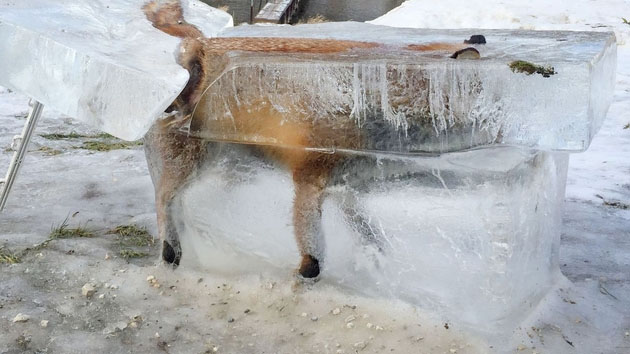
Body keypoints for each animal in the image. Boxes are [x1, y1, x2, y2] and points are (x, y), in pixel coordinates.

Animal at [143, 1, 484, 280]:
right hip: (195, 160)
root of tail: (199, 43)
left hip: (229, 166)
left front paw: (375, 261)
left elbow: (369, 232)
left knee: (186, 200)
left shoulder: (347, 186)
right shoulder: (310, 176)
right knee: (164, 198)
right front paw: (306, 277)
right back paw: (171, 250)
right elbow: (313, 253)